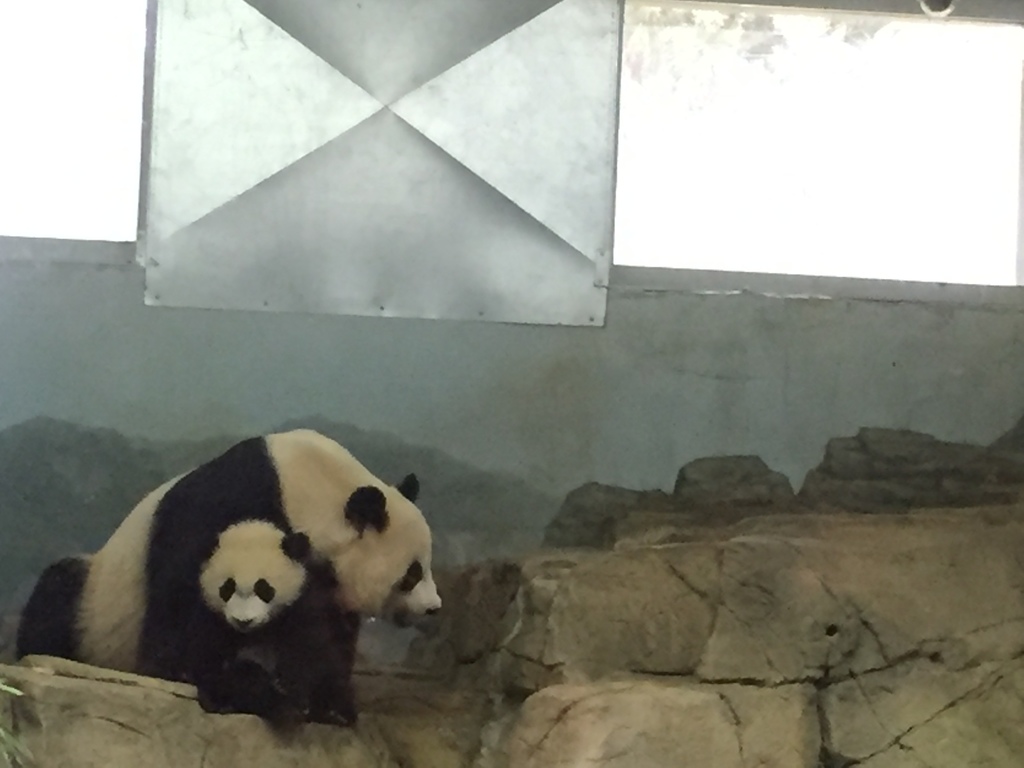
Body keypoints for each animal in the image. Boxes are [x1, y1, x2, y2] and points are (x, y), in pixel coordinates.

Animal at [16, 428, 441, 683]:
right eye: (412, 572)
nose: (434, 607)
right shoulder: (224, 508)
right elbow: (180, 601)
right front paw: (180, 673)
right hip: (96, 602)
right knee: (58, 592)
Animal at [186, 519, 359, 729]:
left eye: (264, 588)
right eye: (227, 588)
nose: (243, 621)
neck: (257, 631)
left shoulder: (300, 607)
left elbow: (309, 650)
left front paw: (292, 690)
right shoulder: (212, 618)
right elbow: (208, 657)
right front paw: (219, 699)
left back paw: (334, 712)